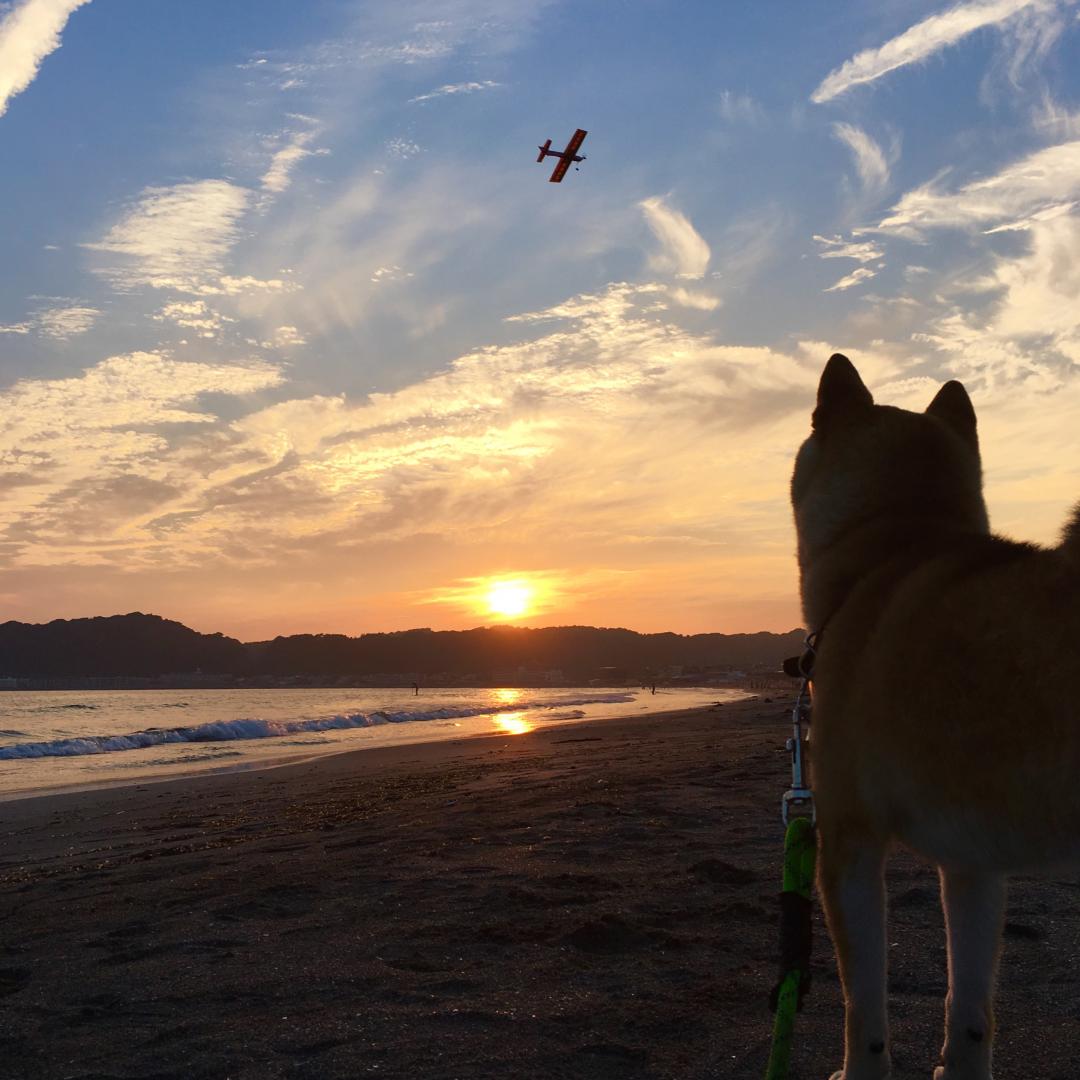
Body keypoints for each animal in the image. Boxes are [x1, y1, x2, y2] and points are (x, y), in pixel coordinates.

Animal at [786, 354, 1080, 1080]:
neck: (891, 551)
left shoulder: (850, 842)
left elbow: (862, 1004)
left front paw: (859, 1070)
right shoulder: (974, 858)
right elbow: (970, 1004)